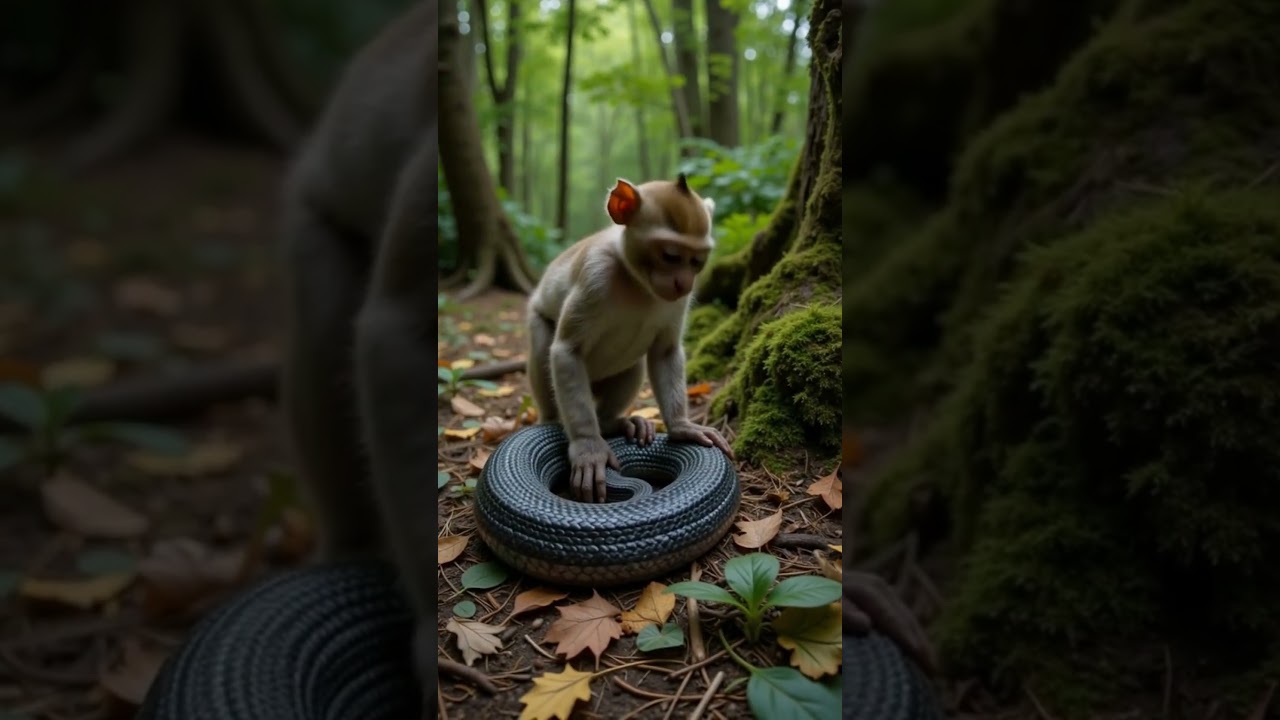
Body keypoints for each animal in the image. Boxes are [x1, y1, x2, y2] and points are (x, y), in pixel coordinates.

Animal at [527, 174, 735, 503]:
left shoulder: (678, 302)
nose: (684, 283)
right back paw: (555, 420)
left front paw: (681, 426)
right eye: (671, 255)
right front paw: (588, 448)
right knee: (543, 348)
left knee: (633, 367)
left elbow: (665, 352)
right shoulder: (595, 274)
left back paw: (615, 421)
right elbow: (567, 351)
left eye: (697, 261)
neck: (636, 281)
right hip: (539, 327)